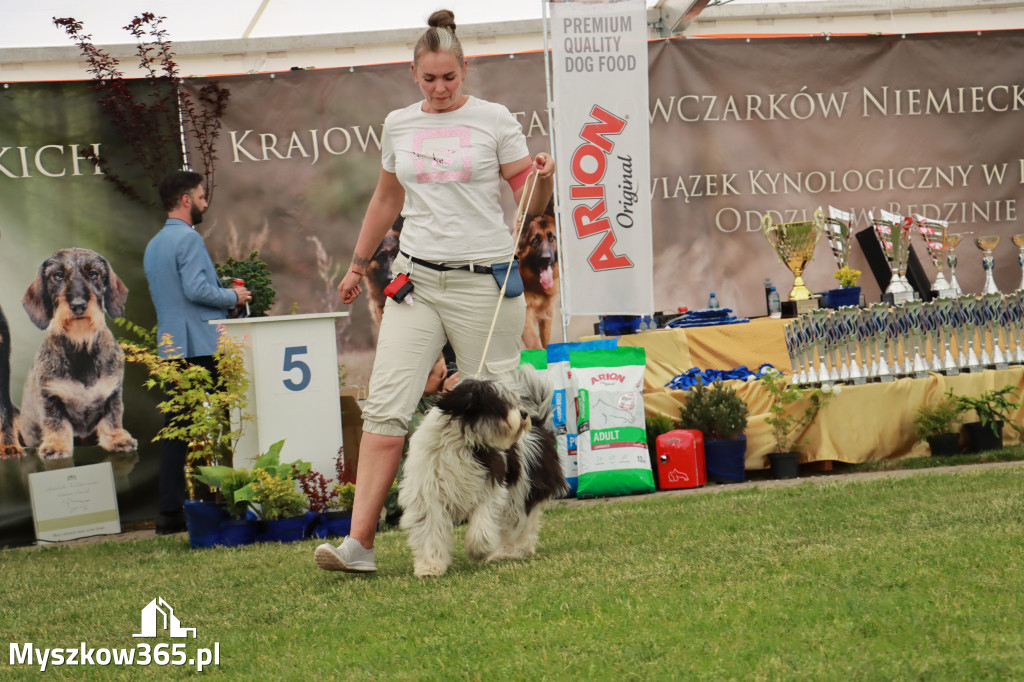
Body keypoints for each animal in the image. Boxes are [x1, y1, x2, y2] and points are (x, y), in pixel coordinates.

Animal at [397, 364, 565, 577]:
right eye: (499, 402)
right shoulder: (429, 494)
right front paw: (430, 566)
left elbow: (481, 525)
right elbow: (430, 531)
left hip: (522, 490)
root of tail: (538, 425)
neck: (462, 442)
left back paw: (512, 551)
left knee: (518, 522)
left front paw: (479, 550)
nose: (523, 414)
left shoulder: (490, 488)